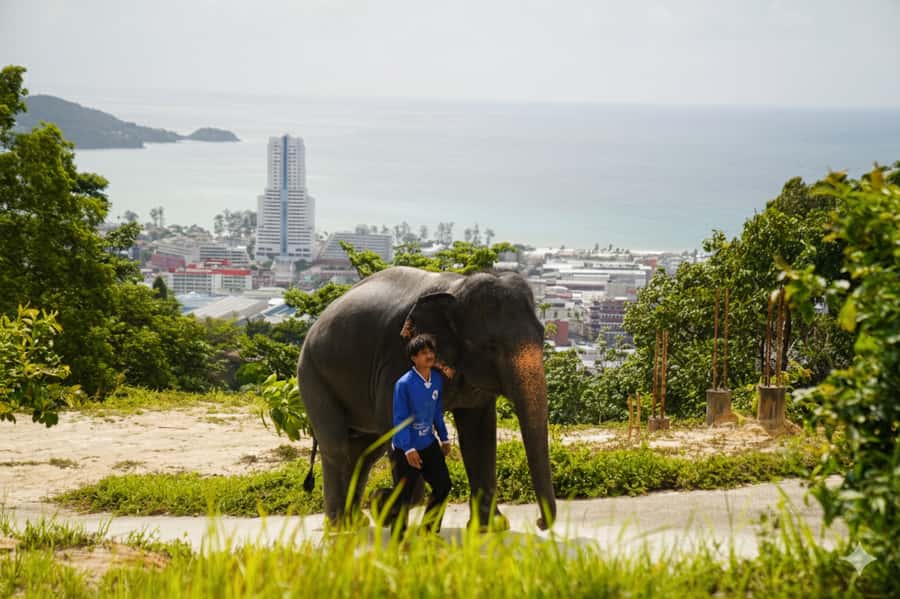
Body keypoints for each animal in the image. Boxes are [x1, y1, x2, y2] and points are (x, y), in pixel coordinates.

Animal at [297, 266, 556, 530]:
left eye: (542, 335)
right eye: (491, 346)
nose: (539, 522)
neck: (457, 289)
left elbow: (479, 433)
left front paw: (490, 528)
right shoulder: (396, 359)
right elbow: (397, 426)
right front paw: (384, 505)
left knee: (365, 451)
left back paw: (356, 521)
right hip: (312, 376)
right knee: (337, 447)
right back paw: (340, 525)